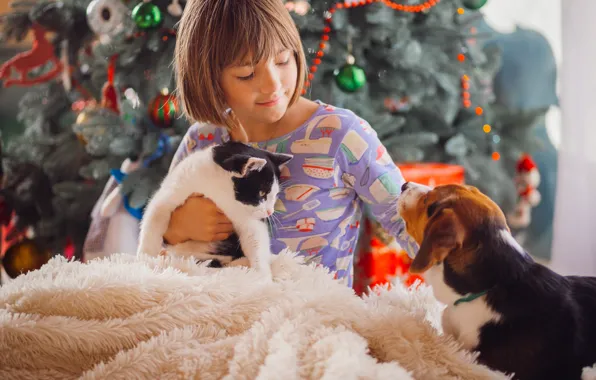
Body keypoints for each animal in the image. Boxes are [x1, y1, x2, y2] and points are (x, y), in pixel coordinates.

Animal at [137, 141, 292, 278]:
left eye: (275, 195)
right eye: (262, 193)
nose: (270, 212)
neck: (218, 190)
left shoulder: (246, 217)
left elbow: (256, 239)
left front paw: (263, 277)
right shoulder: (172, 191)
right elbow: (154, 219)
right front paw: (146, 259)